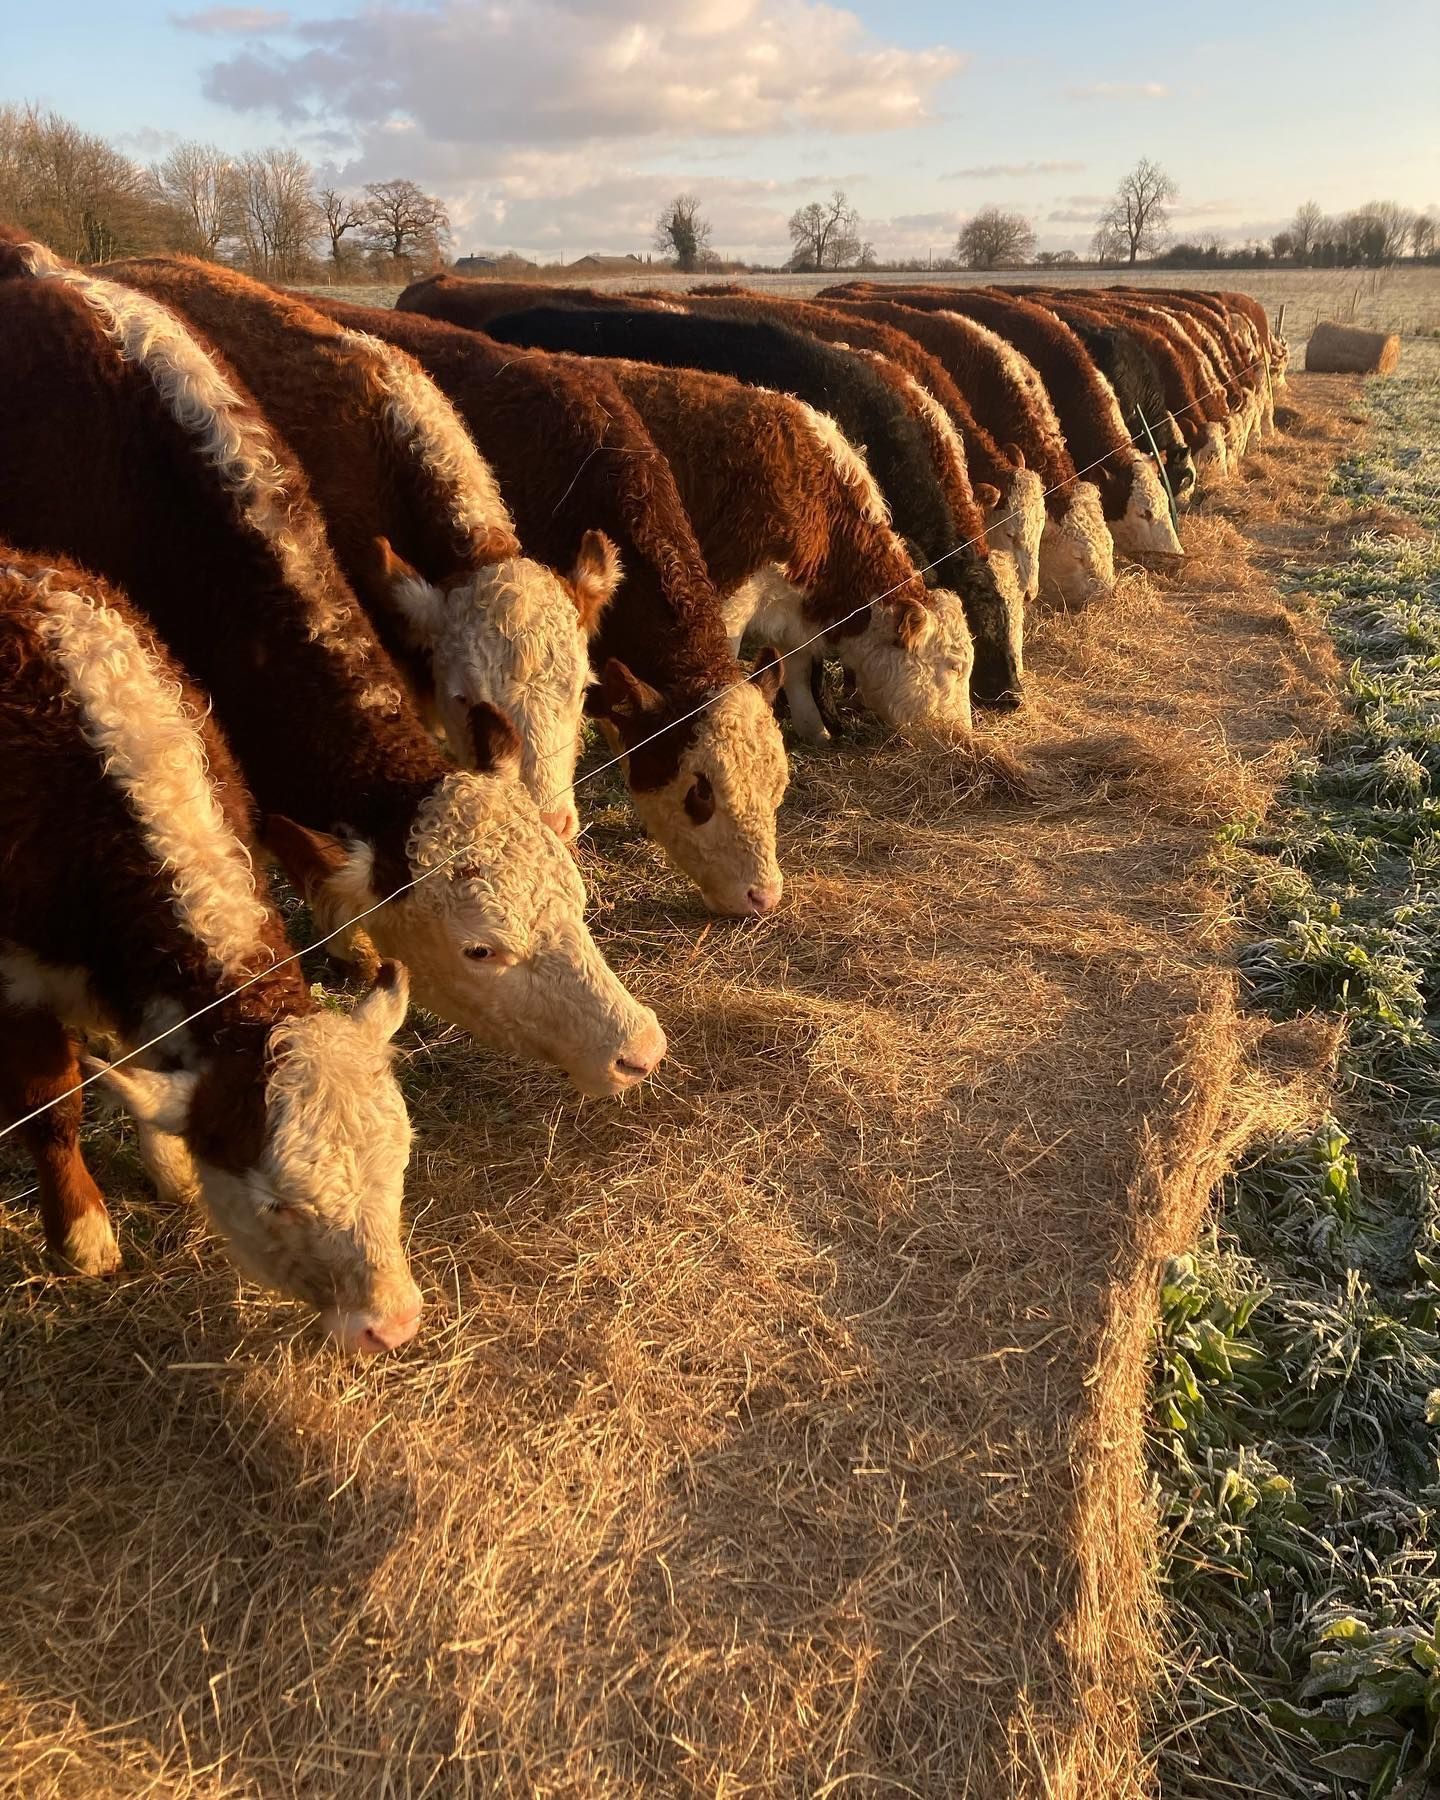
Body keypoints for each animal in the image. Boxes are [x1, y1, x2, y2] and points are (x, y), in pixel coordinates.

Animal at [0, 547, 422, 1352]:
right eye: (280, 1205)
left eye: (399, 1165)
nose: (393, 1324)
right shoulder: (14, 979)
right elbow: (52, 1105)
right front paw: (83, 1234)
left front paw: (169, 1168)